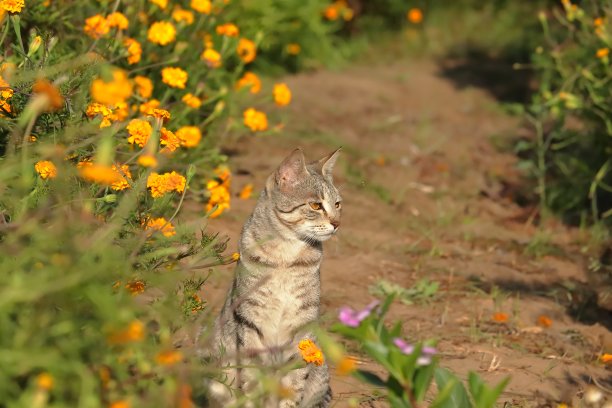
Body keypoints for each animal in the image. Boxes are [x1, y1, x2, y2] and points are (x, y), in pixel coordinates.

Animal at [208, 148, 342, 408]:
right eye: (315, 205)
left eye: (337, 204)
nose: (337, 223)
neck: (285, 258)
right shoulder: (251, 323)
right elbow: (251, 382)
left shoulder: (302, 329)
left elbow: (293, 385)